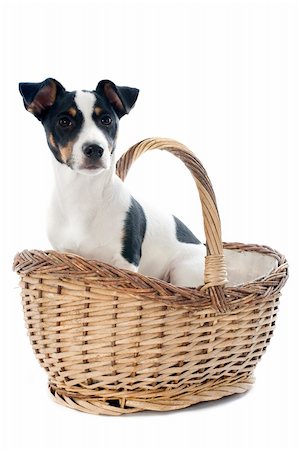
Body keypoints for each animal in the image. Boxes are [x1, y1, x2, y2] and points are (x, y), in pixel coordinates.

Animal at [17, 78, 207, 286]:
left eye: (106, 120)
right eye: (64, 121)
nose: (94, 149)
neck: (84, 192)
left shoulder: (126, 260)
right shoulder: (65, 252)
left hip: (184, 272)